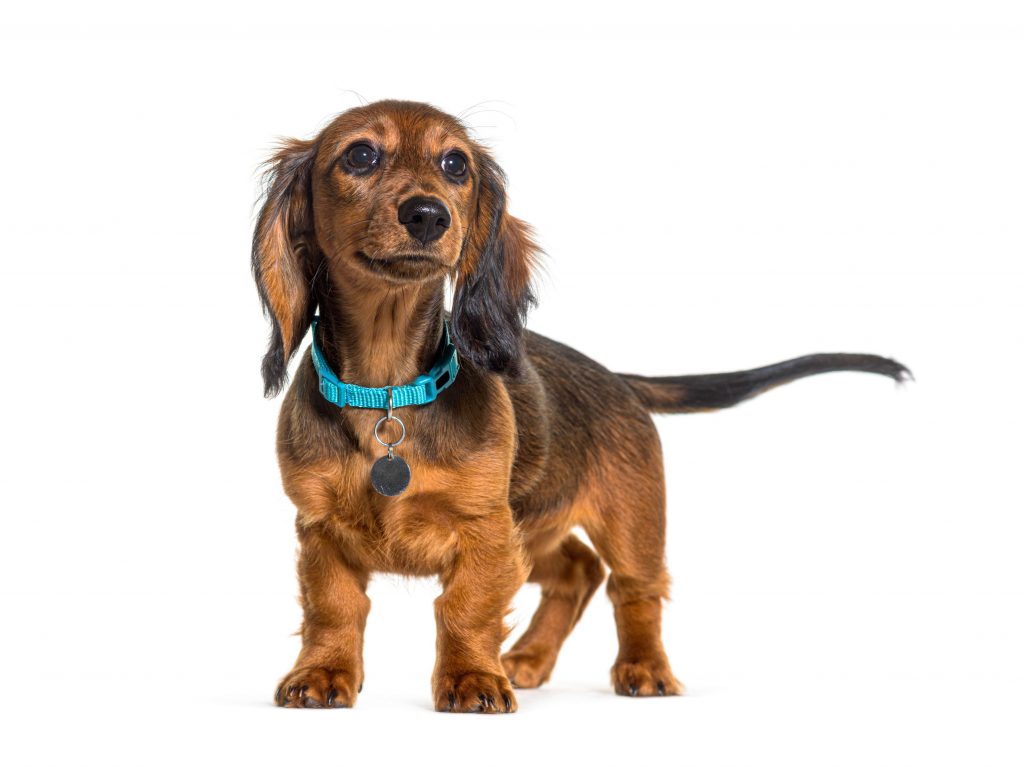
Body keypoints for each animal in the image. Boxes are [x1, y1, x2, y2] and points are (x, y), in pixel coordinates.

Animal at [251, 100, 909, 712]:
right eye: (360, 155)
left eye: (455, 164)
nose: (429, 215)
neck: (388, 392)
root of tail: (618, 379)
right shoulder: (319, 527)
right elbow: (334, 606)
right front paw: (322, 673)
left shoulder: (487, 528)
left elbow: (465, 606)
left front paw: (471, 679)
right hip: (535, 527)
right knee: (578, 572)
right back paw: (529, 658)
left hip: (627, 522)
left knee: (632, 588)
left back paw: (643, 668)